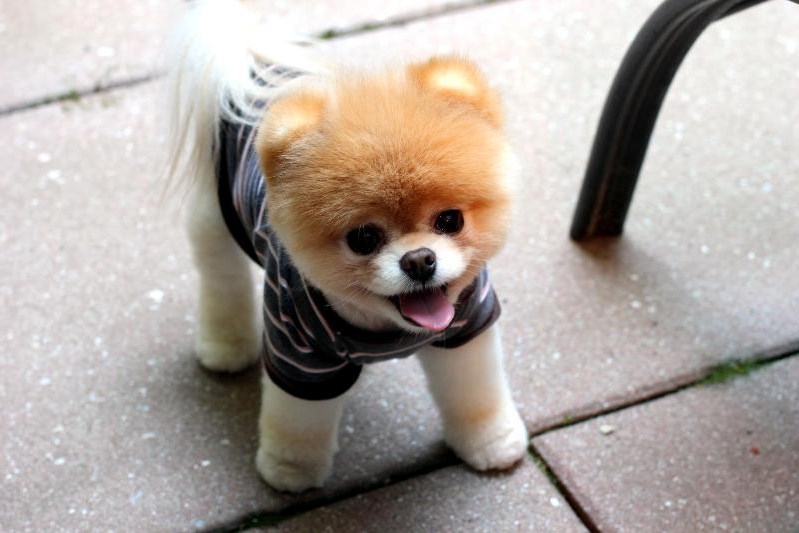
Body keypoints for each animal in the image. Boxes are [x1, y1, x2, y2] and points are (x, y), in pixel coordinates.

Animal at [166, 0, 527, 493]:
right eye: (363, 238)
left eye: (450, 220)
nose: (420, 260)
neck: (385, 328)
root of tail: (251, 64)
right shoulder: (299, 355)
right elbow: (297, 425)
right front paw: (289, 472)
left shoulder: (466, 327)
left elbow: (476, 395)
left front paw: (492, 443)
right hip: (215, 221)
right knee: (223, 282)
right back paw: (225, 347)